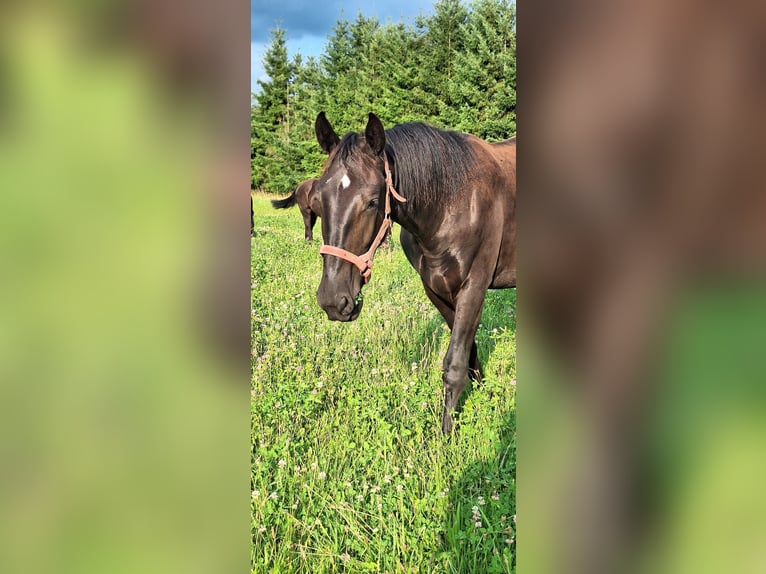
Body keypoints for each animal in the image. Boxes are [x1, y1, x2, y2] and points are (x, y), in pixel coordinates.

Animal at [310, 113, 516, 432]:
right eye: (318, 201)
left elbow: (454, 364)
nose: (333, 300)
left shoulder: (474, 287)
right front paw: (482, 394)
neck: (452, 201)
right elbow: (468, 352)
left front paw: (447, 434)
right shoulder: (436, 289)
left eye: (372, 202)